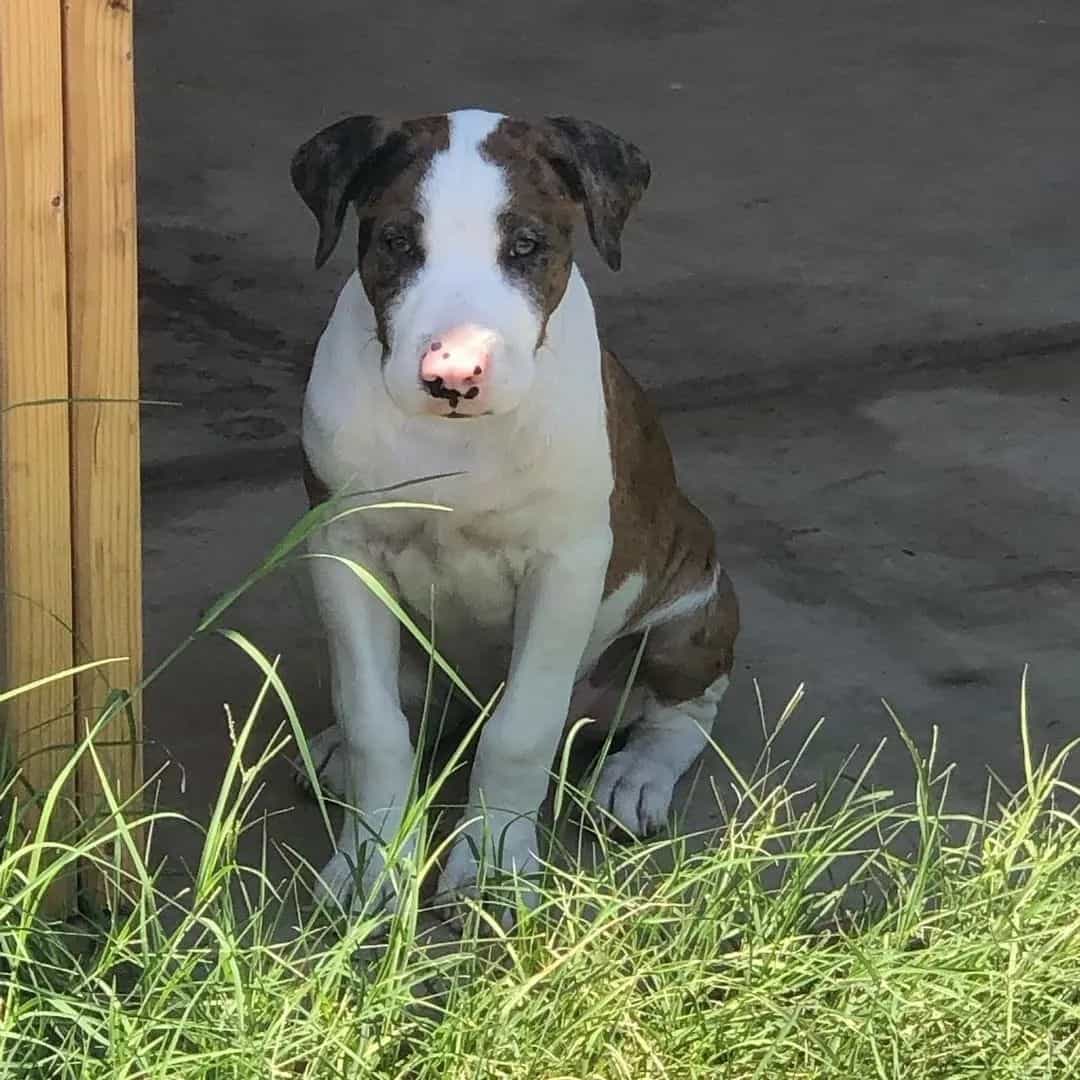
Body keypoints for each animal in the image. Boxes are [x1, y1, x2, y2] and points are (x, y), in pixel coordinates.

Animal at [291, 109, 738, 915]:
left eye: (527, 246)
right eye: (397, 242)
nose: (454, 374)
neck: (459, 439)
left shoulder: (566, 567)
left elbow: (520, 733)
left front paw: (492, 863)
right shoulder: (345, 551)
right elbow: (376, 725)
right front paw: (373, 864)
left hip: (692, 608)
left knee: (686, 711)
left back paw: (634, 778)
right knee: (409, 704)